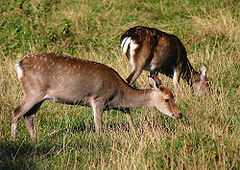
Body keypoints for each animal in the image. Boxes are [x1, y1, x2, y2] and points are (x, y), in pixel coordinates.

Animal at [11, 52, 182, 140]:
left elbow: (128, 113)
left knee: (29, 115)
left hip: (40, 96)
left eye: (173, 96)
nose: (179, 114)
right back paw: (14, 141)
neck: (120, 93)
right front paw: (100, 142)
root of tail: (19, 66)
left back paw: (34, 140)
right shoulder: (98, 99)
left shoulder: (118, 105)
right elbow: (99, 126)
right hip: (34, 91)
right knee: (17, 111)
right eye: (167, 99)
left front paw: (134, 132)